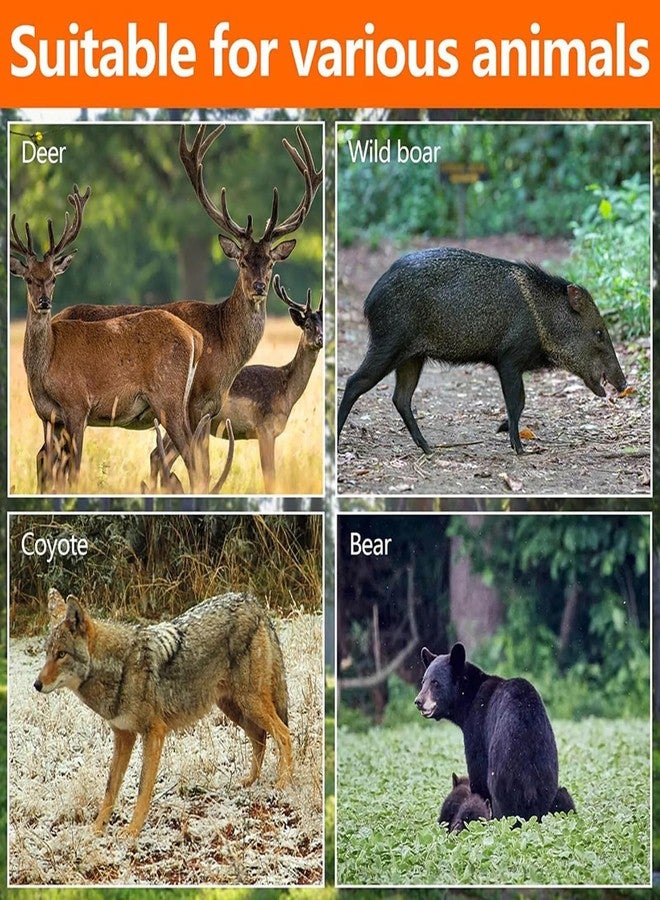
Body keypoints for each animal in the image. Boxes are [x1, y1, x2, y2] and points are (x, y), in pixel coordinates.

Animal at [10, 184, 230, 495]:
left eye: (53, 277)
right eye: (29, 278)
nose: (43, 302)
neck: (45, 368)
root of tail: (194, 336)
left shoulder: (78, 405)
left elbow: (74, 471)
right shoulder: (47, 416)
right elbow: (51, 472)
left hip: (169, 397)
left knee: (193, 456)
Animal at [214, 274, 323, 492]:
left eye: (324, 325)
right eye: (307, 325)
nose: (320, 340)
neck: (286, 392)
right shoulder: (264, 429)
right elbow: (269, 476)